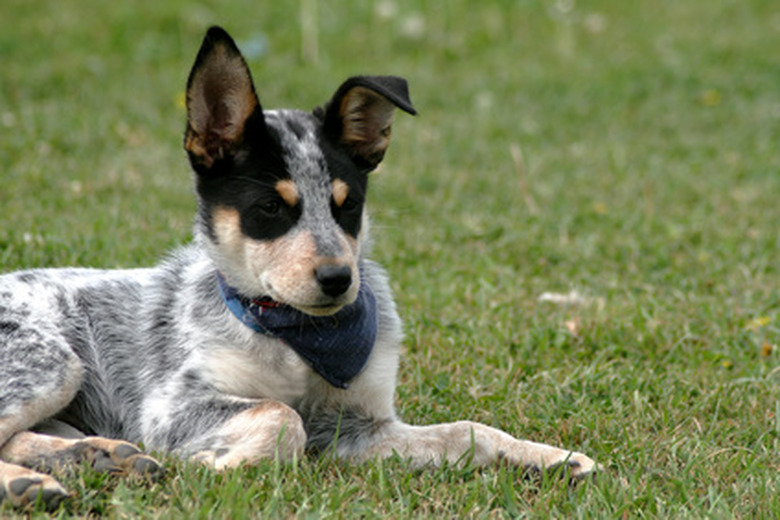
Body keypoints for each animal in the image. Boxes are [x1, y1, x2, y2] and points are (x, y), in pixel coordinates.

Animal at [0, 25, 596, 508]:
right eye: (270, 208)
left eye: (347, 205)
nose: (338, 279)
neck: (297, 336)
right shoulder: (170, 406)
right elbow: (280, 416)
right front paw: (218, 465)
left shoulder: (356, 427)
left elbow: (467, 430)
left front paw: (548, 456)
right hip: (54, 363)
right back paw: (36, 481)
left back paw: (98, 458)